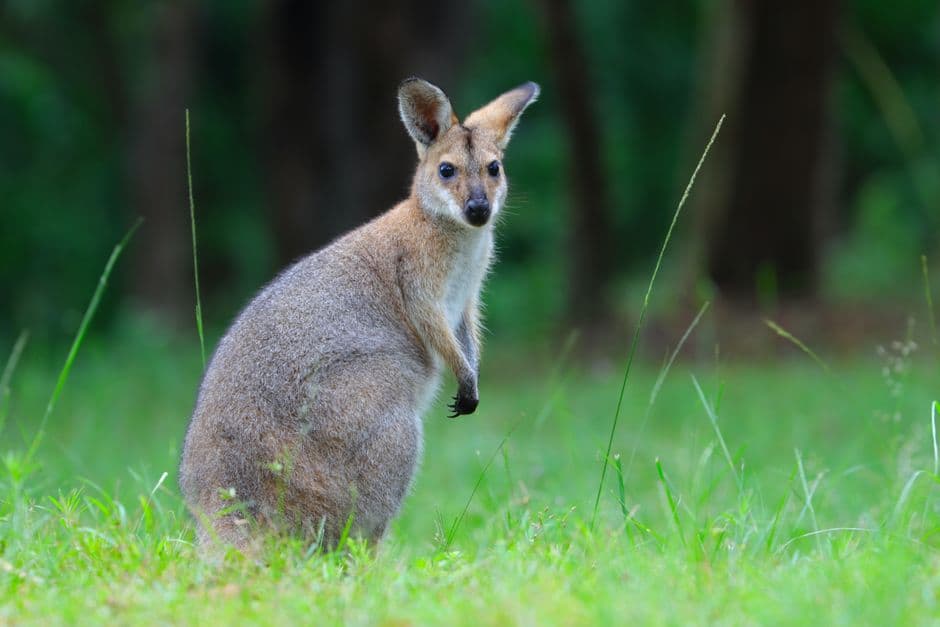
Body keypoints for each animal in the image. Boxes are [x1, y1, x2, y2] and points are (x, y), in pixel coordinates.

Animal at [179, 77, 539, 551]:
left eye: (494, 168)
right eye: (446, 171)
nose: (479, 210)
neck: (453, 231)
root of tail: (225, 516)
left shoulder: (466, 297)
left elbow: (466, 333)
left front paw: (472, 378)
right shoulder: (419, 284)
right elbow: (435, 329)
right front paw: (466, 382)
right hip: (378, 419)